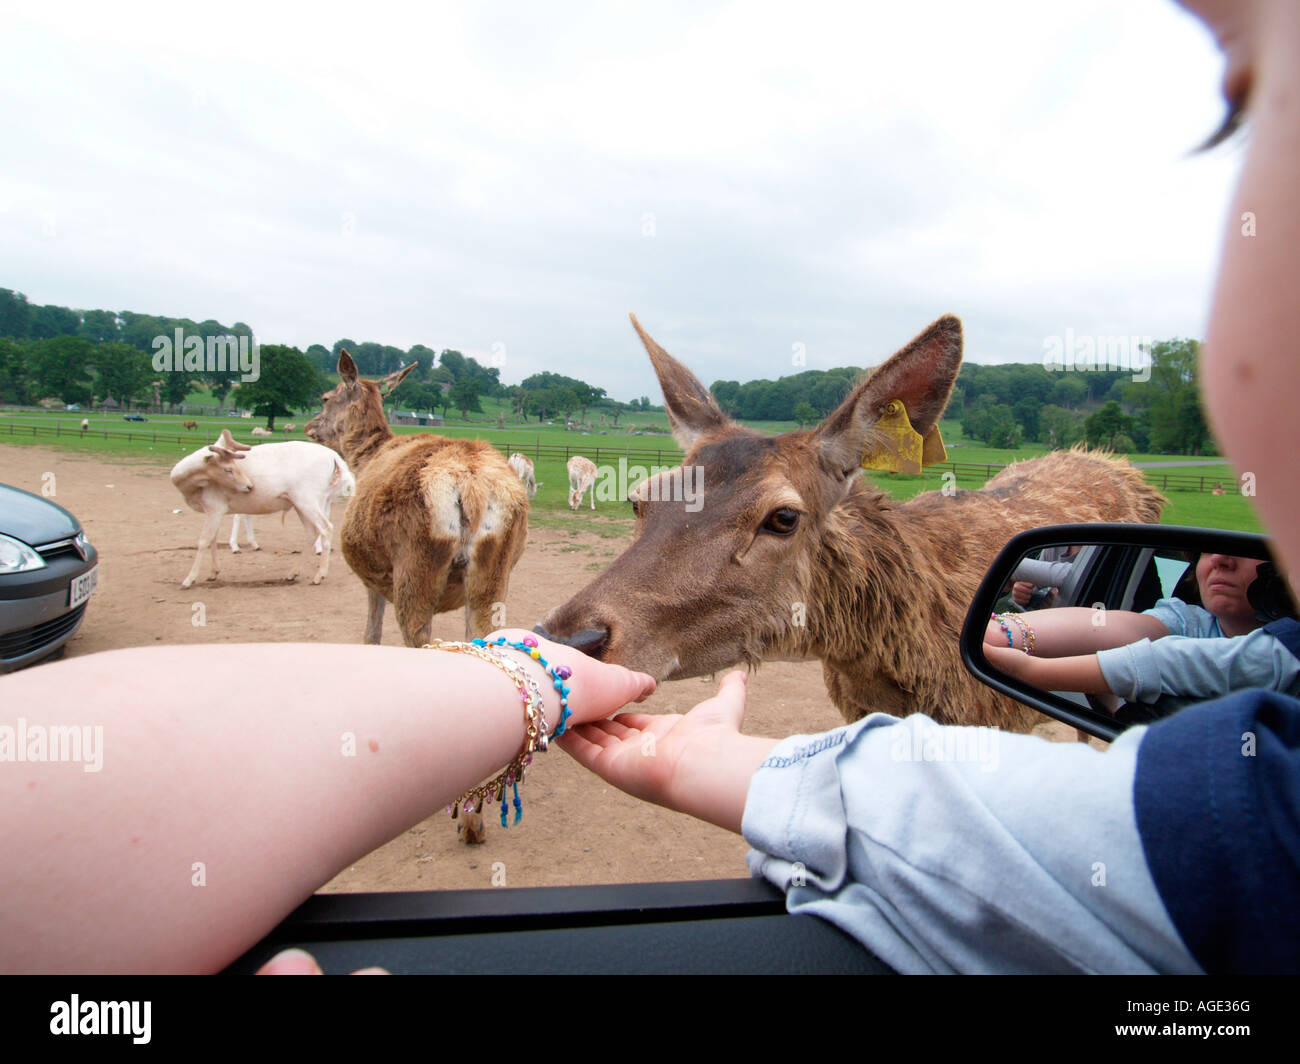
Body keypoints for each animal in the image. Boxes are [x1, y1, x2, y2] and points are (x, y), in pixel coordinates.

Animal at [305, 352, 529, 645]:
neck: (363, 460)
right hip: (493, 573)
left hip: (414, 564)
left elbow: (371, 633)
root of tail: (471, 486)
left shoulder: (373, 575)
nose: (309, 426)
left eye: (325, 398)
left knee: (419, 634)